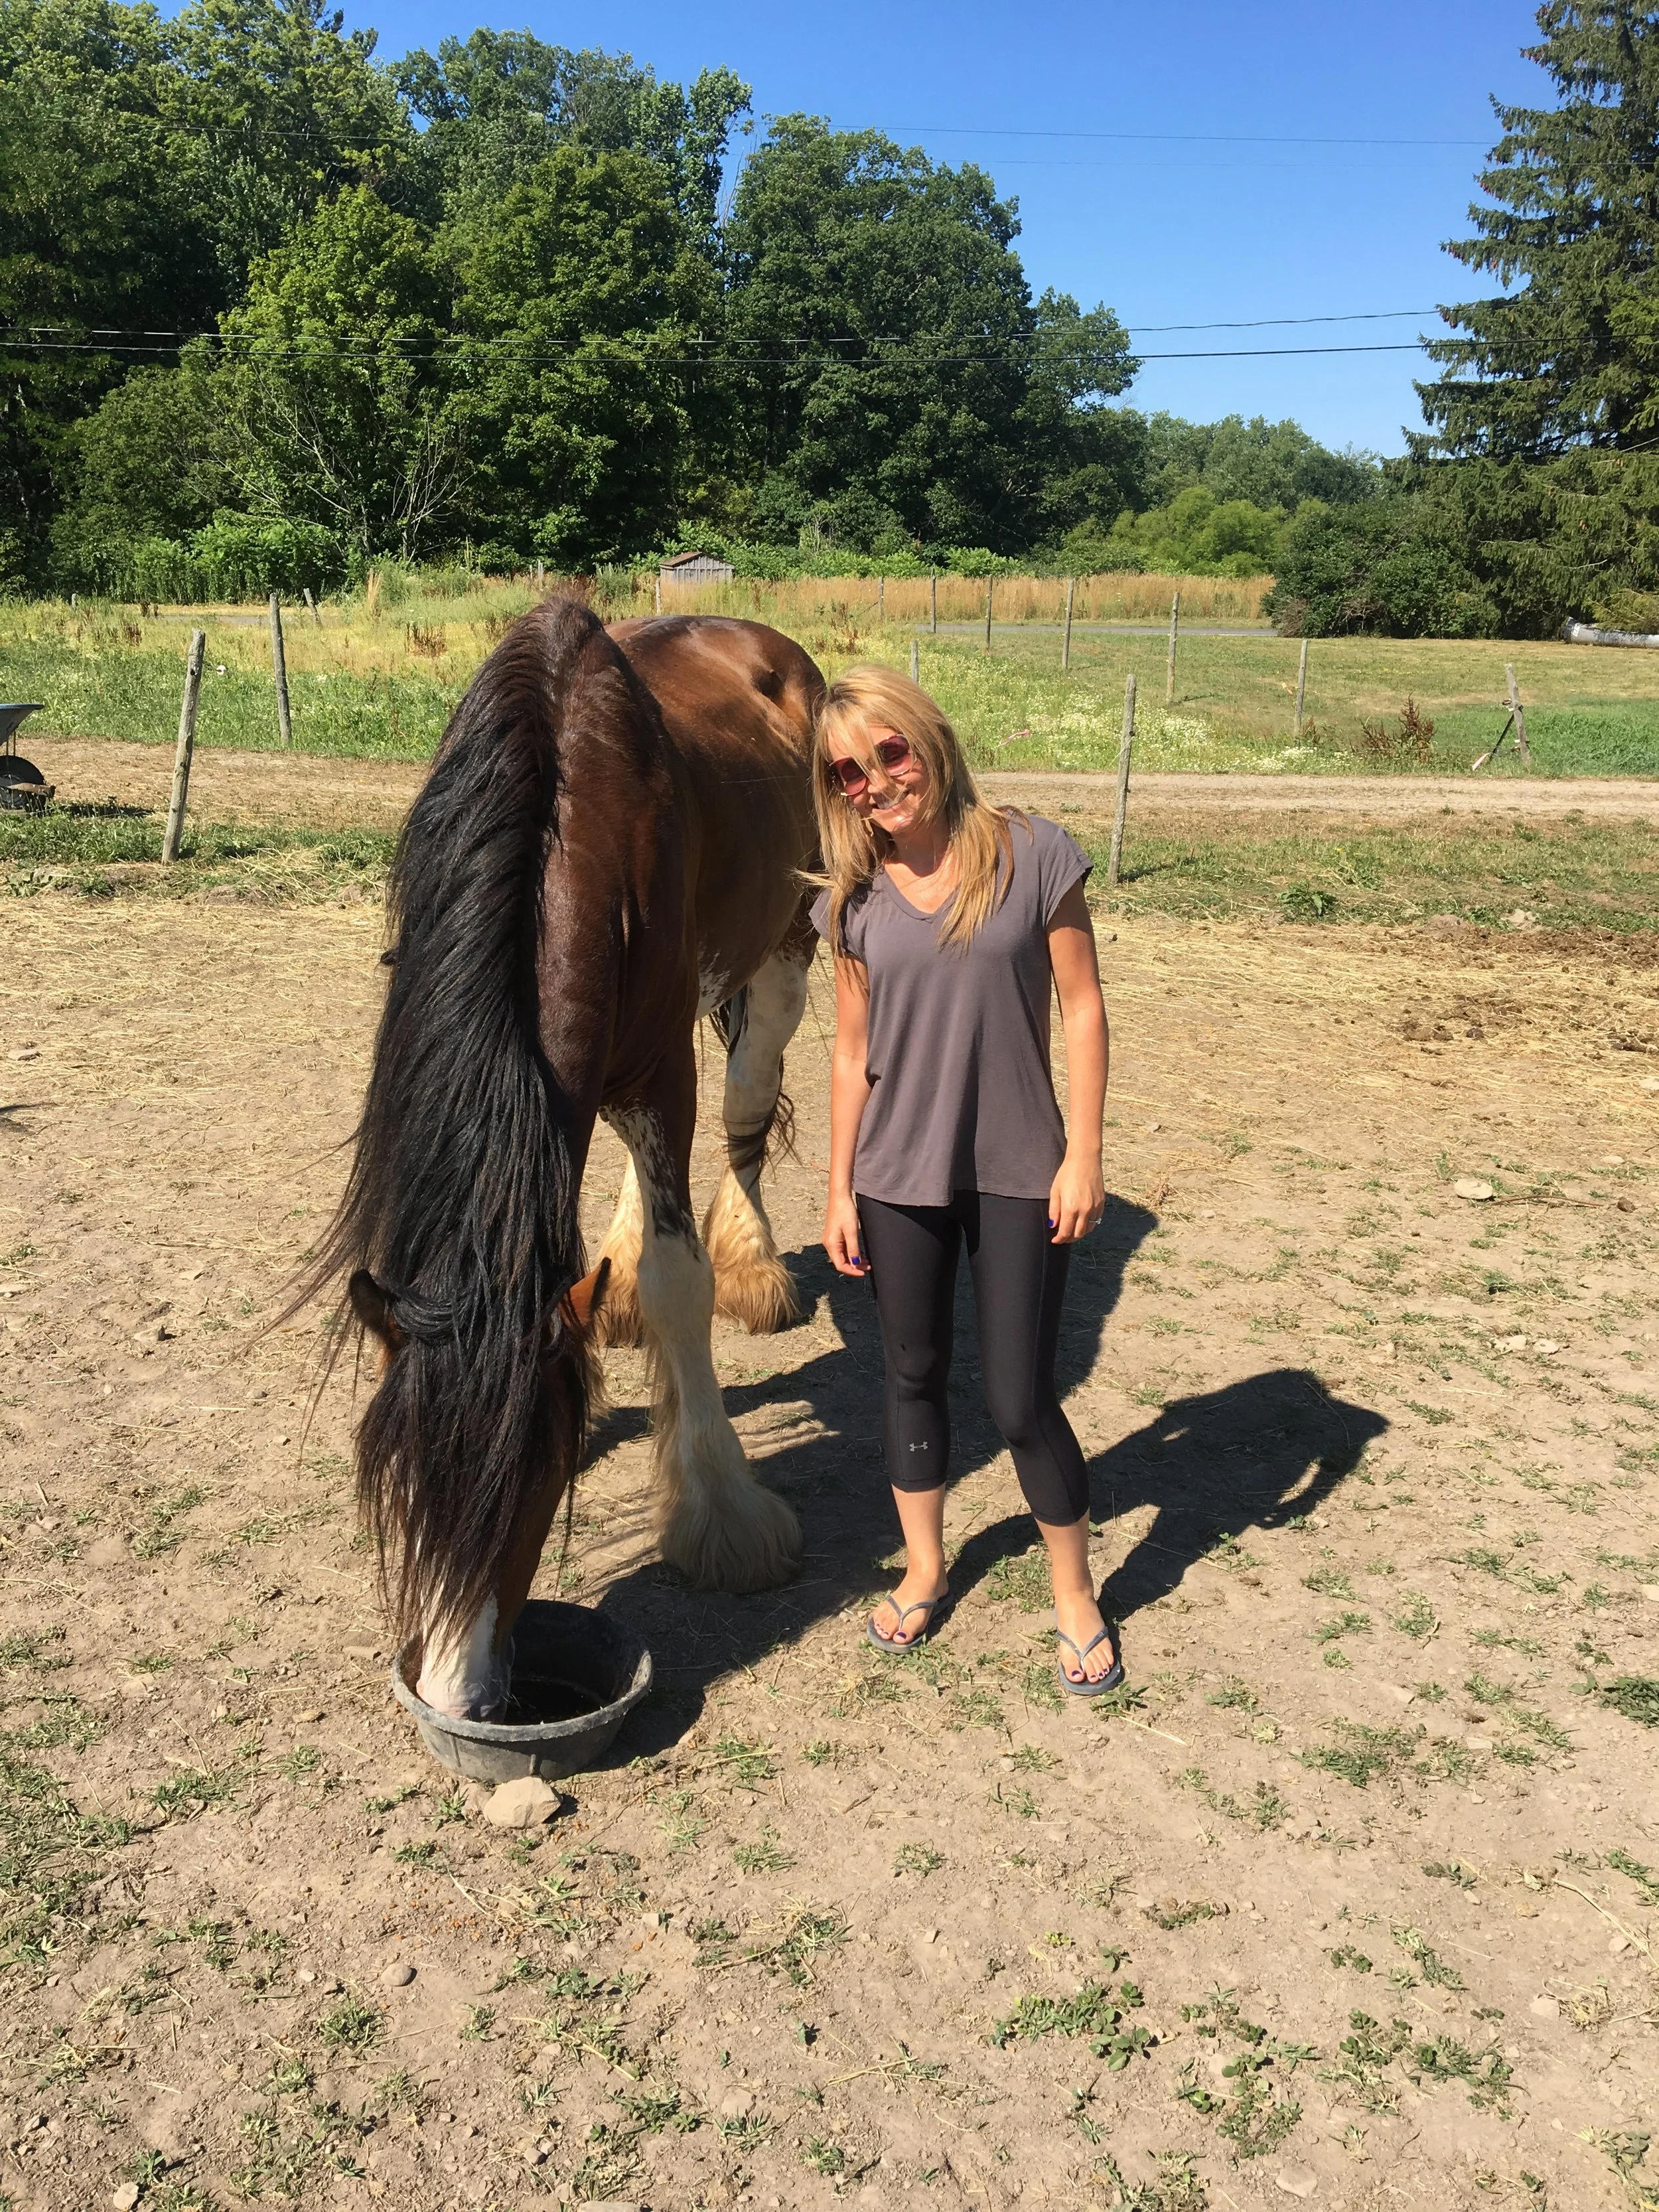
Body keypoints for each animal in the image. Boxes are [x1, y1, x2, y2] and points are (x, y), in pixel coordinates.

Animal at [302, 598, 824, 1720]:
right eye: (396, 1478)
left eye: (540, 1485)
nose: (455, 1696)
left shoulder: (664, 1064)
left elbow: (680, 1280)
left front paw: (721, 1511)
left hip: (782, 961)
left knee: (746, 1115)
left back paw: (756, 1269)